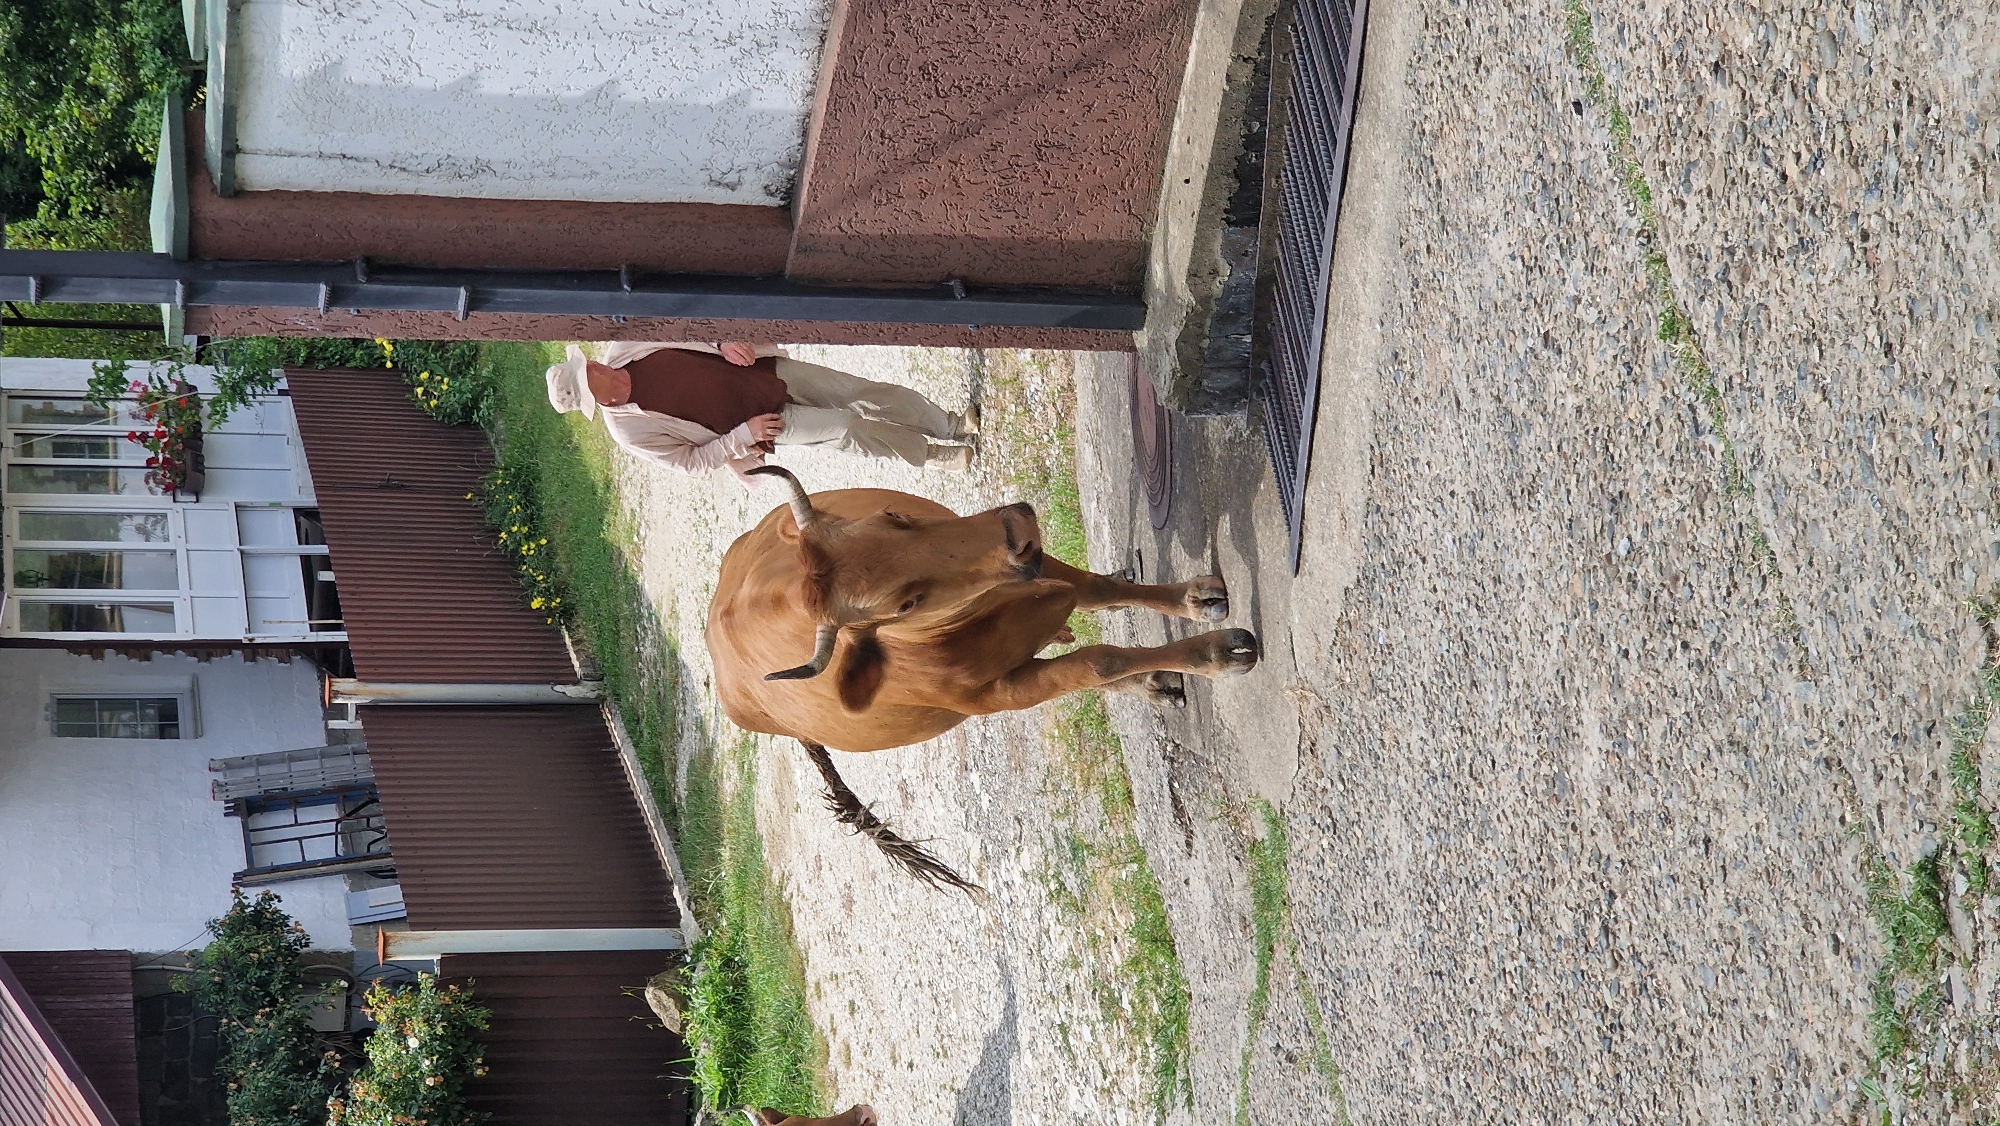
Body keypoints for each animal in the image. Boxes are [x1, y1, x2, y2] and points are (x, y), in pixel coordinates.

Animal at [706, 466, 1260, 892]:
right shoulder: (1005, 692)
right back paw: (1153, 681)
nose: (1017, 529)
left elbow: (1102, 592)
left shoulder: (1039, 570)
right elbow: (1098, 662)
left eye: (892, 518)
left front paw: (1194, 600)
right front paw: (1215, 654)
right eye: (905, 603)